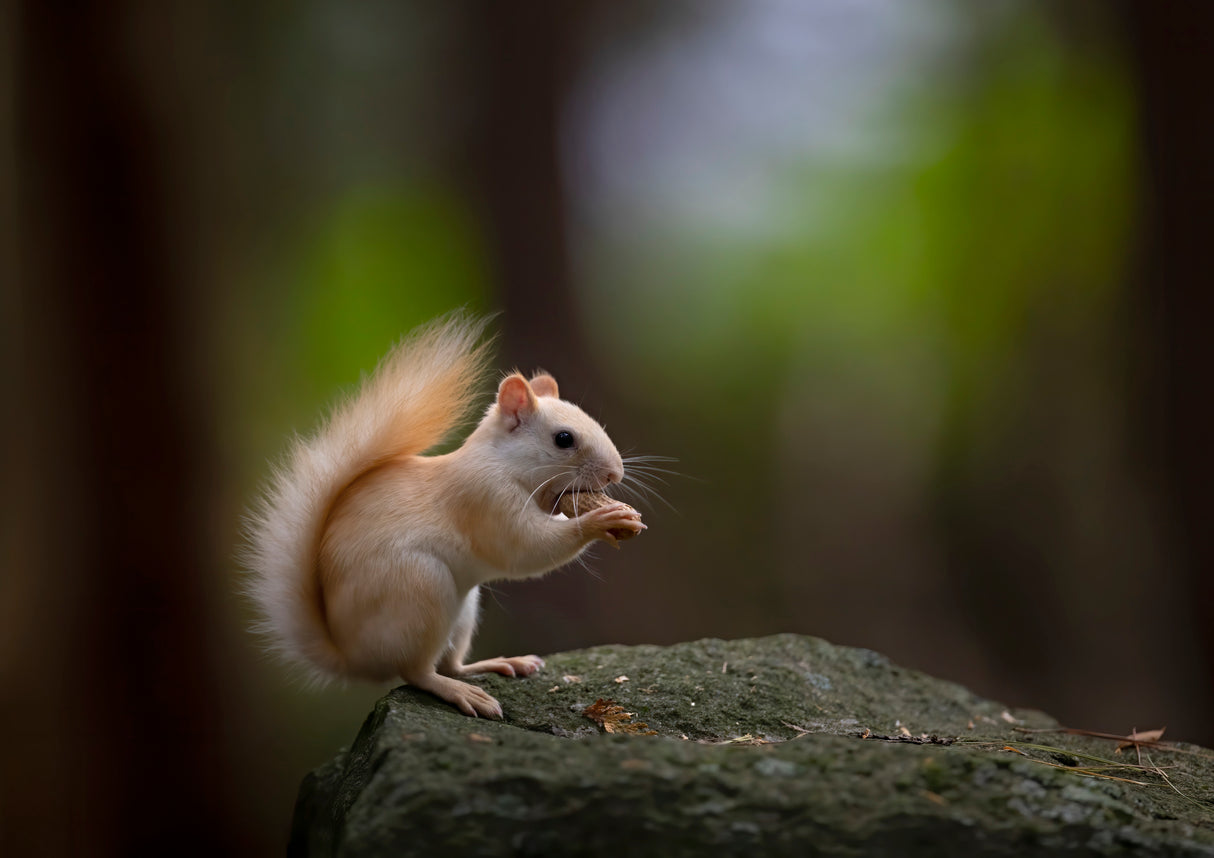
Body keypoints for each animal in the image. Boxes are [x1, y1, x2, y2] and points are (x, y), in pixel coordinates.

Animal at [243, 313, 645, 718]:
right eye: (564, 439)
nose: (614, 475)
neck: (501, 462)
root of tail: (353, 657)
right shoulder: (484, 498)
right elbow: (526, 548)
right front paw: (601, 521)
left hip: (464, 608)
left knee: (451, 662)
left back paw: (499, 664)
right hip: (421, 590)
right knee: (417, 672)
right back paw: (460, 692)